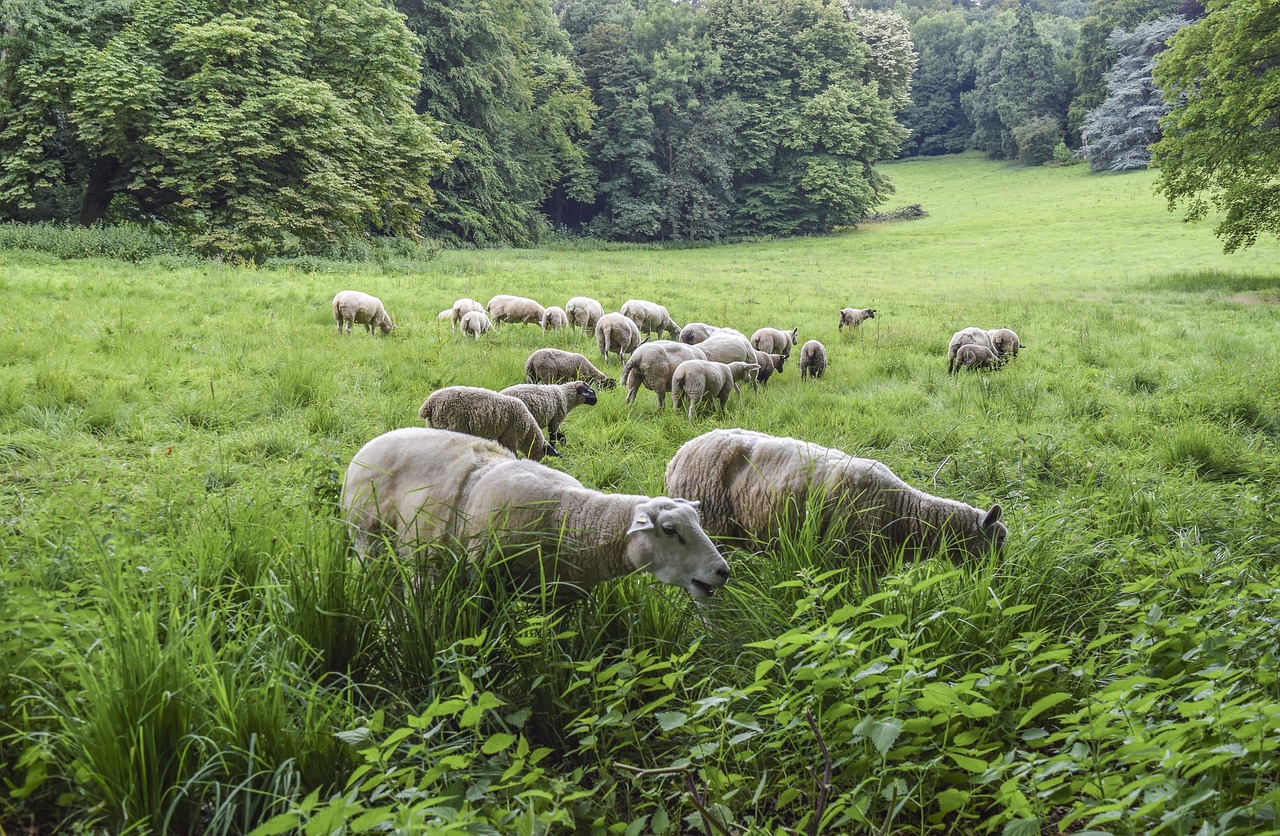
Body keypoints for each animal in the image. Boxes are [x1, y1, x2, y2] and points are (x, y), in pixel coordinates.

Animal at [337, 427, 732, 596]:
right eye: (669, 530)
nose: (723, 571)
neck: (567, 516)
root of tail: (367, 445)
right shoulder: (483, 583)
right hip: (367, 538)